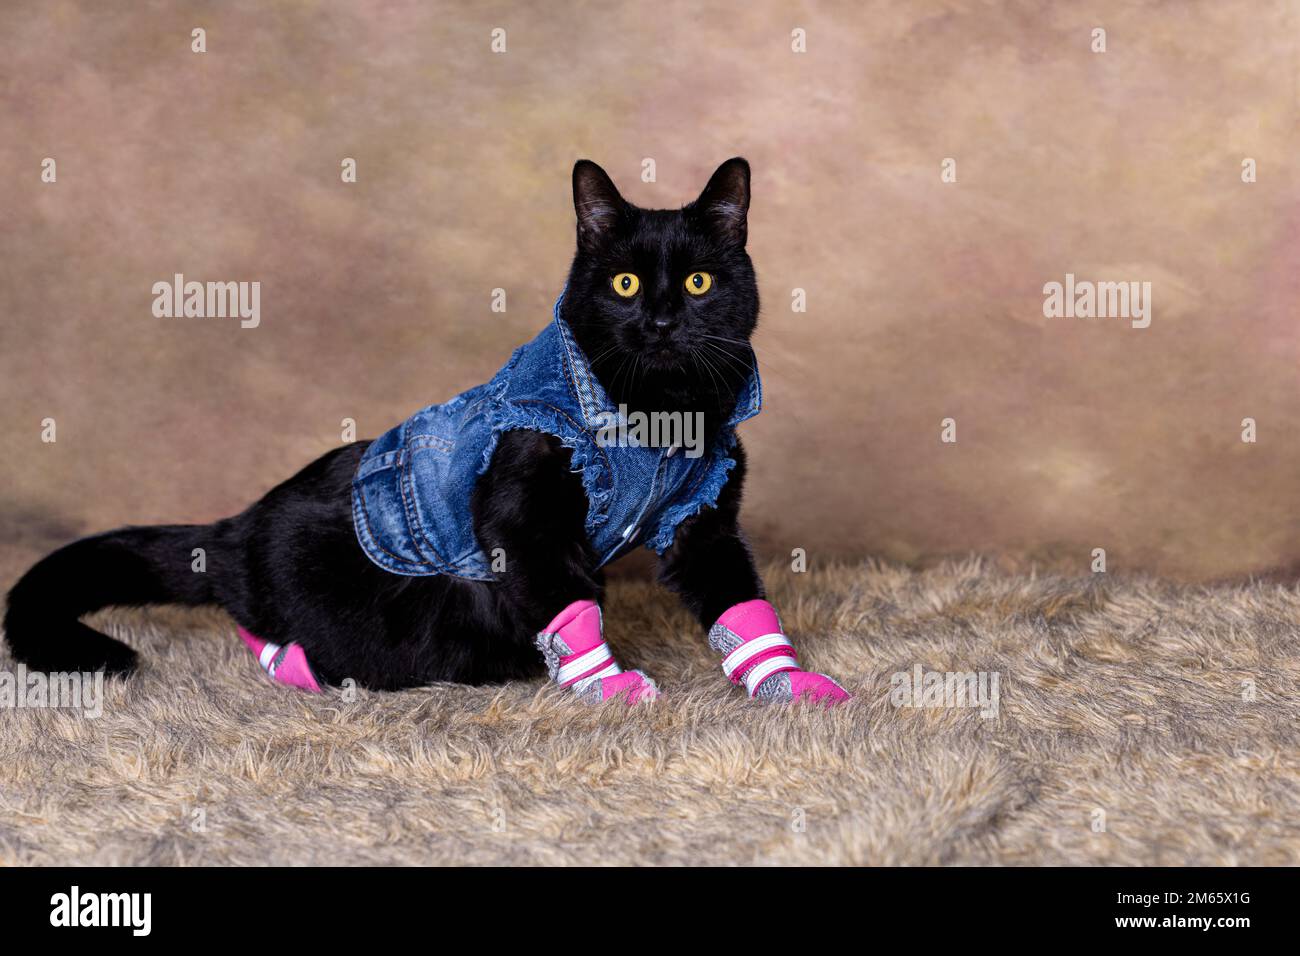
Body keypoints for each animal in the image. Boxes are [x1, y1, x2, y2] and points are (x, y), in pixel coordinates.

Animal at [5, 158, 852, 702]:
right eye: (624, 283)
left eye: (700, 282)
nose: (664, 319)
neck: (662, 417)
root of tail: (237, 528)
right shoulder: (523, 518)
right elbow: (570, 609)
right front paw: (611, 691)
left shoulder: (703, 518)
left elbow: (742, 607)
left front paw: (787, 682)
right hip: (388, 623)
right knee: (285, 632)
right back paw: (289, 664)